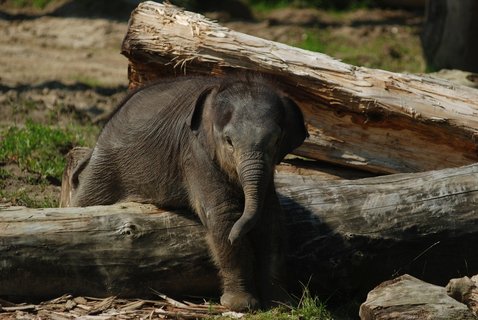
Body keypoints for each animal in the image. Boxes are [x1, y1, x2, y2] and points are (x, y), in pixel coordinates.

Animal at [71, 74, 310, 310]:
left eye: (277, 141)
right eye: (229, 141)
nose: (235, 236)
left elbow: (271, 218)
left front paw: (281, 304)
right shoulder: (195, 152)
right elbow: (223, 214)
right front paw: (240, 305)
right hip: (106, 166)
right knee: (86, 201)